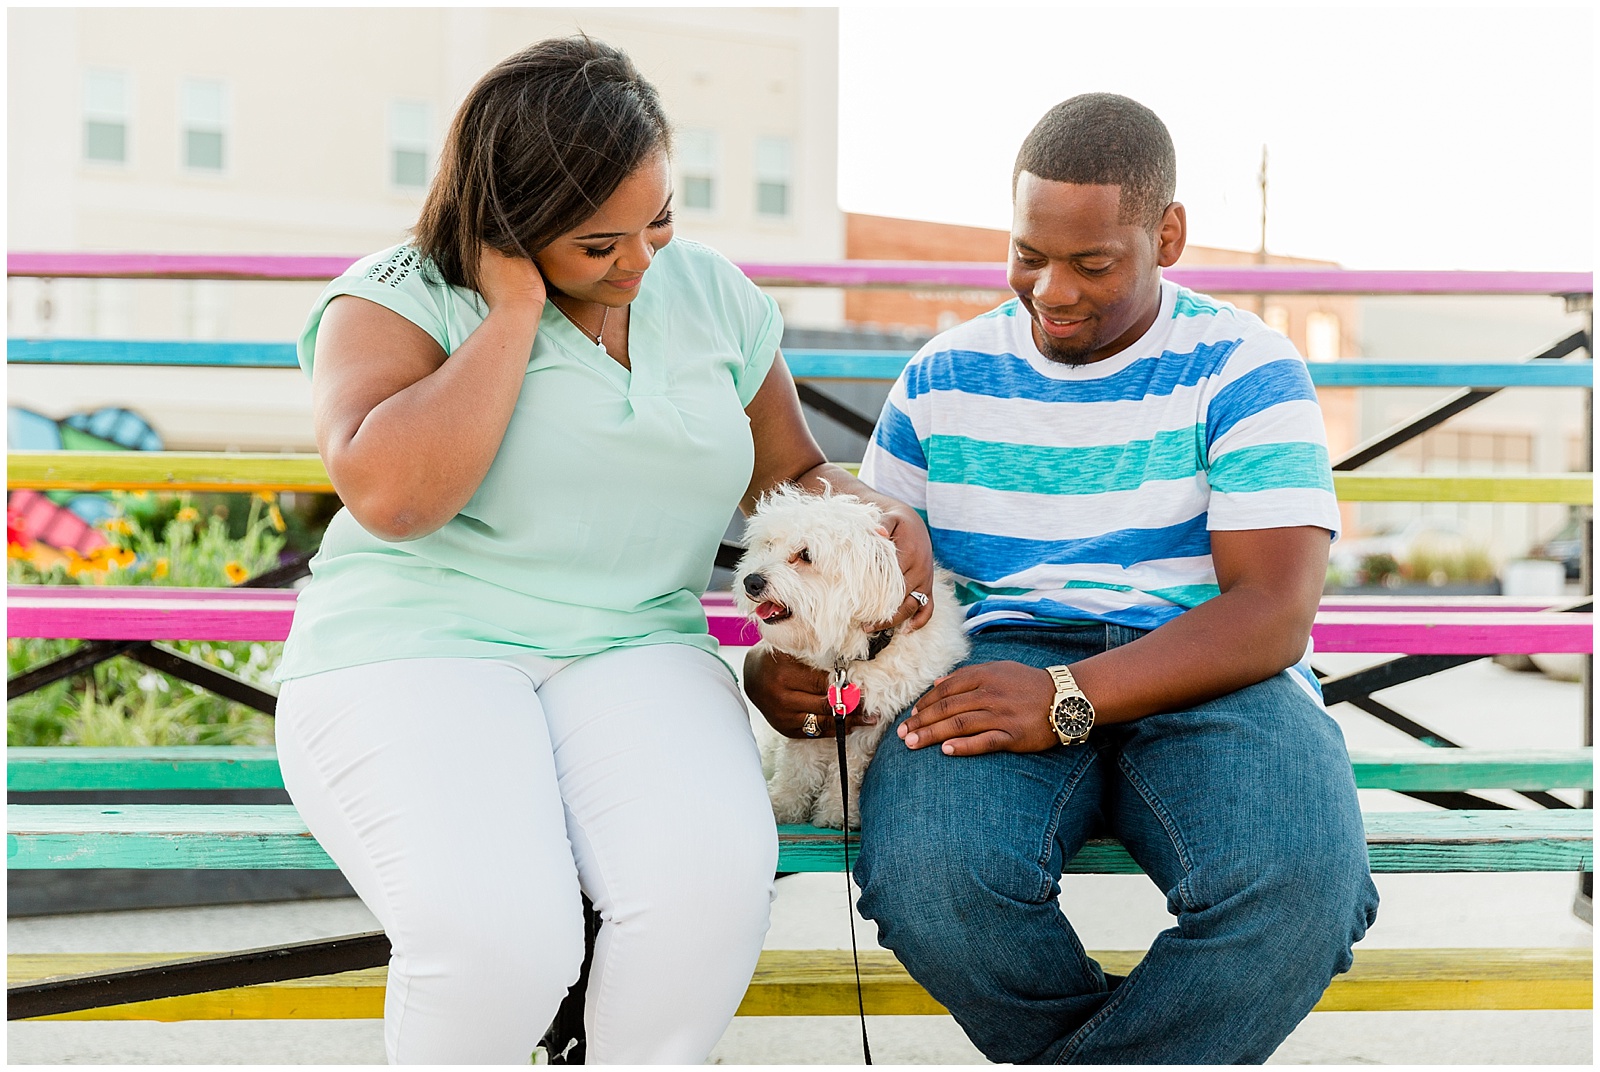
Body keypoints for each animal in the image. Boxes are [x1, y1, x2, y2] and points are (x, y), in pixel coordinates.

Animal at [732, 486, 966, 832]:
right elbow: (798, 764)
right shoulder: (809, 718)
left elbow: (850, 769)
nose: (752, 581)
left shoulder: (871, 723)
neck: (848, 656)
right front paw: (783, 804)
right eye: (769, 545)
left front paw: (836, 812)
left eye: (805, 555)